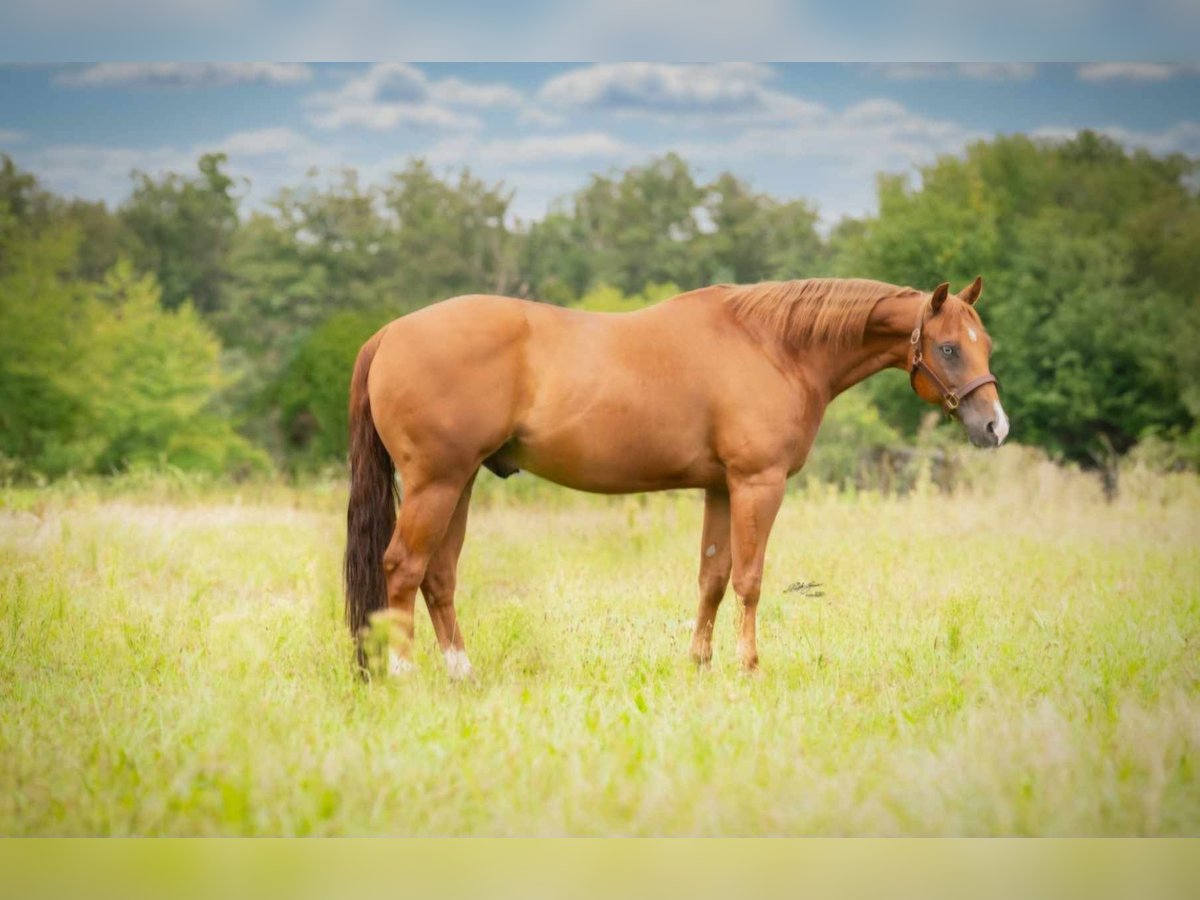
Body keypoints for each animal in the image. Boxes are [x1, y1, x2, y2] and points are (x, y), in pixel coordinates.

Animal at [343, 278, 1008, 681]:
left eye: (986, 344)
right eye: (949, 348)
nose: (995, 427)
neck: (775, 347)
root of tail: (389, 333)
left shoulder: (720, 488)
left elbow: (712, 577)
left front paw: (700, 664)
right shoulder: (758, 484)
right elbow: (748, 580)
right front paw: (749, 666)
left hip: (459, 485)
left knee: (439, 577)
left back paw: (463, 674)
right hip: (435, 484)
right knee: (403, 567)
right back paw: (403, 674)